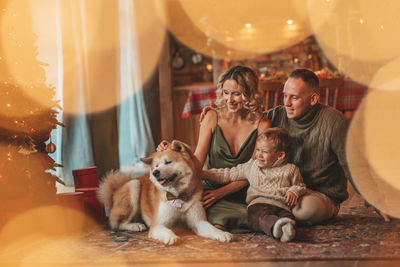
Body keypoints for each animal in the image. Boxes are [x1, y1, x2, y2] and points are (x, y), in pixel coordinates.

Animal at [97, 139, 233, 246]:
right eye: (156, 166)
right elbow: (166, 230)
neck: (178, 196)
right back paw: (135, 225)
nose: (155, 172)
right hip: (134, 186)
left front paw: (223, 234)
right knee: (118, 224)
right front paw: (171, 236)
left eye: (168, 162)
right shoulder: (158, 225)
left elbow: (212, 228)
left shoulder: (198, 222)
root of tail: (114, 192)